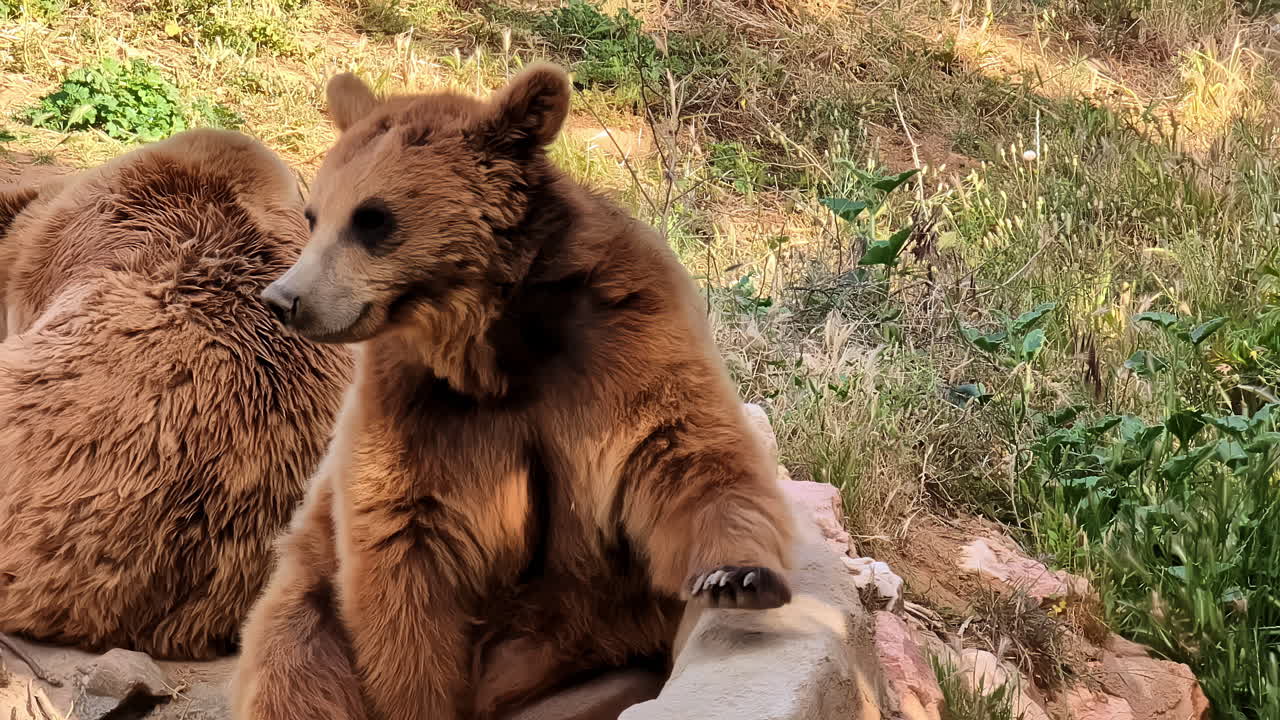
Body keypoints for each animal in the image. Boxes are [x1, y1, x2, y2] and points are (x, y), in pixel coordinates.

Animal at [233, 63, 796, 720]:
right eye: (314, 215)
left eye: (373, 219)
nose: (285, 299)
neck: (495, 338)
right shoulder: (415, 399)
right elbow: (402, 542)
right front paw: (417, 697)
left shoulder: (622, 340)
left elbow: (682, 451)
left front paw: (739, 577)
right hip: (308, 592)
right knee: (294, 660)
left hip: (595, 643)